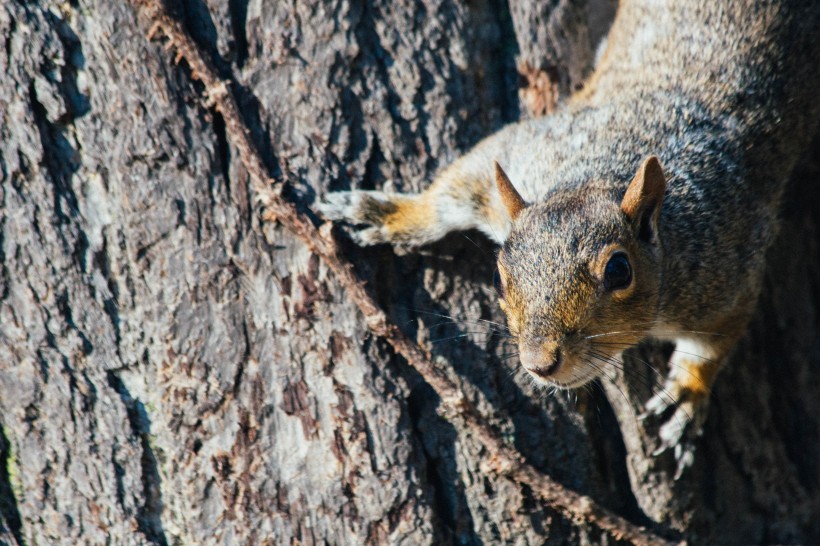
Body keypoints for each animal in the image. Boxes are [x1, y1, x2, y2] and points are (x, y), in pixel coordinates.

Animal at [318, 0, 820, 474]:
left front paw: (687, 392)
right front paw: (391, 213)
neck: (600, 175)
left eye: (619, 271)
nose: (539, 363)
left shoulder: (728, 268)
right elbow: (455, 187)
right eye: (499, 277)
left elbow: (716, 340)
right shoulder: (524, 151)